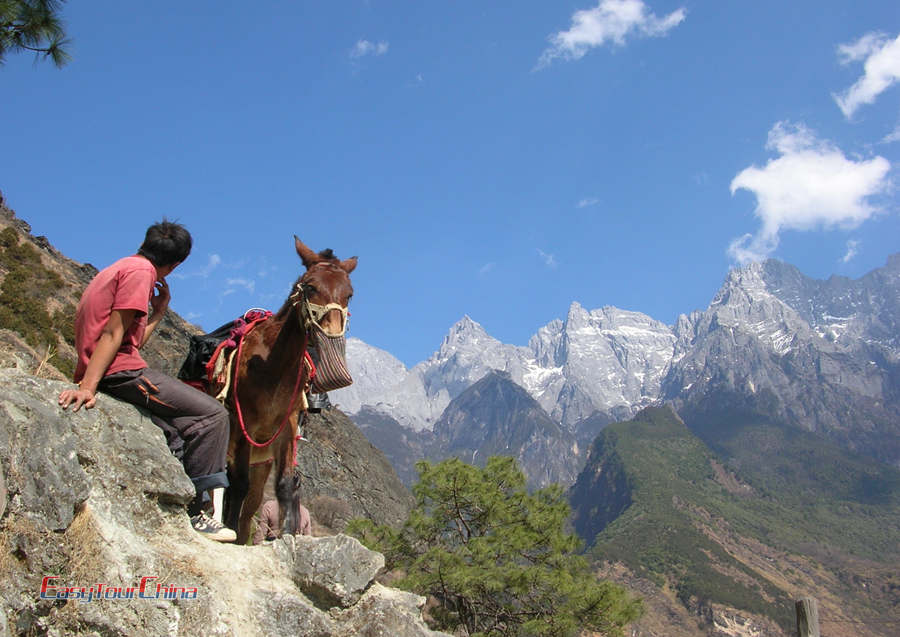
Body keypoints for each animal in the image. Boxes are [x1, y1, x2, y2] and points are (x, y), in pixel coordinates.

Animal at [221, 236, 356, 544]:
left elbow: (283, 485)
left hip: (261, 462)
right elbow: (238, 482)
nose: (332, 334)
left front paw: (286, 533)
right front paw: (229, 531)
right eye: (310, 286)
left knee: (250, 507)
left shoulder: (287, 426)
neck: (274, 364)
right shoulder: (244, 422)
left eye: (349, 294)